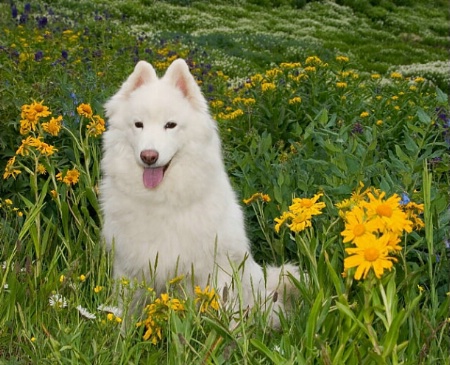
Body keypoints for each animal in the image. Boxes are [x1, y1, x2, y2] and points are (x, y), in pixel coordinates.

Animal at [100, 59, 298, 324]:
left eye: (170, 125)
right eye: (138, 124)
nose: (149, 156)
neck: (160, 199)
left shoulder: (214, 269)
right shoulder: (129, 266)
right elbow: (127, 311)